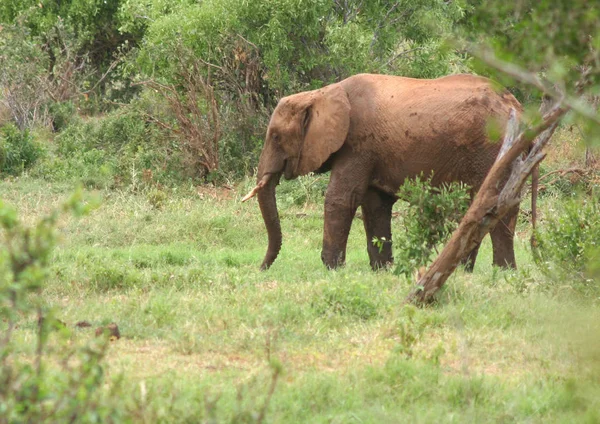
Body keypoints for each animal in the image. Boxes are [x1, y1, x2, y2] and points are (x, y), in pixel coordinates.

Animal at [244, 73, 524, 272]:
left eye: (276, 137)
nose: (261, 268)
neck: (322, 93)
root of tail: (517, 105)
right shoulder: (372, 152)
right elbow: (375, 205)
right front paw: (382, 270)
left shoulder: (357, 145)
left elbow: (341, 198)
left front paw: (332, 268)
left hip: (492, 148)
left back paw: (499, 273)